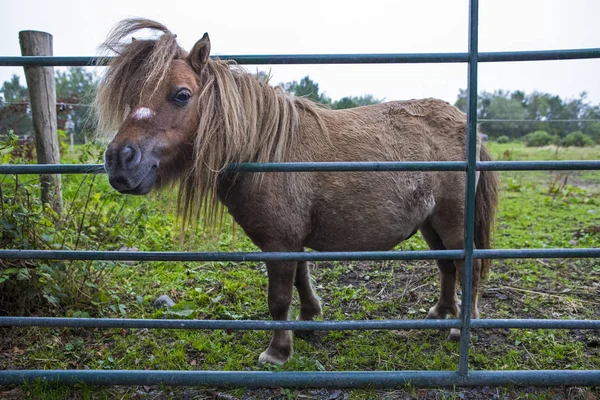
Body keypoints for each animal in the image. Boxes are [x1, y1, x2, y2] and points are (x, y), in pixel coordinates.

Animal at [98, 18, 500, 366]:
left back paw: (461, 327)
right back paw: (442, 313)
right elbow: (301, 278)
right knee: (447, 266)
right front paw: (308, 320)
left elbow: (279, 298)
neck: (263, 152)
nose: (119, 161)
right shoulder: (292, 239)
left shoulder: (279, 242)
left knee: (467, 266)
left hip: (453, 221)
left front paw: (277, 351)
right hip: (431, 223)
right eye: (132, 97)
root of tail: (466, 123)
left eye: (181, 95)